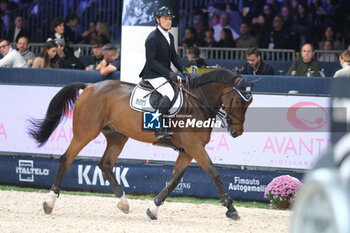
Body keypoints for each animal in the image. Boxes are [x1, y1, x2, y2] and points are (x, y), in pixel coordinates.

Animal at [28, 68, 258, 221]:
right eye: (239, 101)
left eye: (250, 103)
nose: (236, 132)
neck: (199, 101)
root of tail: (90, 86)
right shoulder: (194, 147)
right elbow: (214, 173)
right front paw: (231, 209)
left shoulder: (187, 151)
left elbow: (174, 180)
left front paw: (154, 209)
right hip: (85, 132)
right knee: (67, 159)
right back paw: (49, 203)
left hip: (117, 136)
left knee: (105, 164)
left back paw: (123, 202)